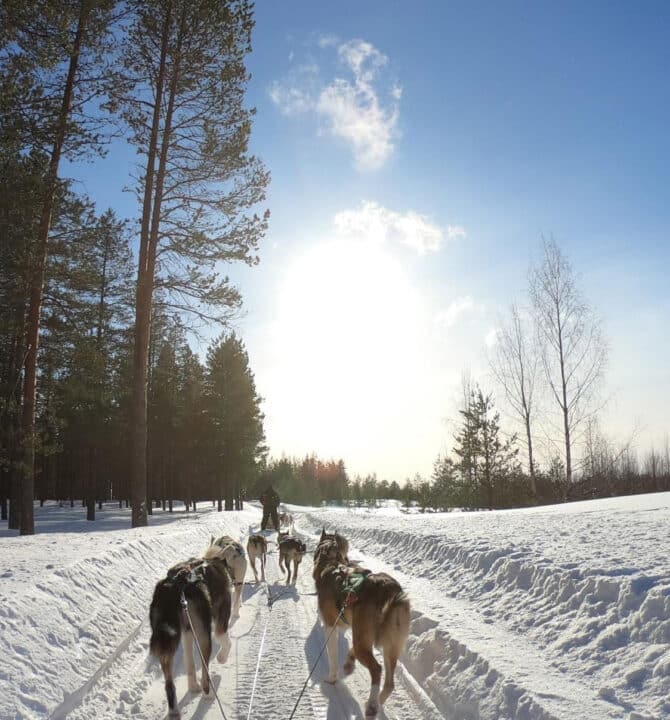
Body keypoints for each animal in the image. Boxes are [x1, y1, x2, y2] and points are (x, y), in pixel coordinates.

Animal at [150, 544, 234, 716]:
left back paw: (175, 710)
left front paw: (192, 686)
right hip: (203, 635)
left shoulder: (188, 633)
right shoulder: (221, 619)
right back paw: (208, 694)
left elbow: (189, 663)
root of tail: (174, 586)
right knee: (205, 671)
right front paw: (222, 658)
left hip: (167, 644)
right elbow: (224, 639)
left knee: (170, 685)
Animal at [314, 536, 410, 716]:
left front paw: (332, 678)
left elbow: (332, 656)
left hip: (367, 644)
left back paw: (372, 705)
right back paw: (376, 703)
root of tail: (389, 589)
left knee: (377, 669)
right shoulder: (352, 629)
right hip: (390, 646)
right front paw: (349, 663)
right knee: (389, 683)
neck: (331, 563)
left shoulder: (330, 626)